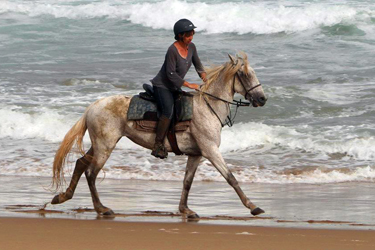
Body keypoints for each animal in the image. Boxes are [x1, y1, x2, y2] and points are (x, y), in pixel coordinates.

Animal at [50, 52, 268, 217]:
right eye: (244, 75)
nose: (262, 99)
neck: (208, 107)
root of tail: (92, 107)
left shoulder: (196, 154)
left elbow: (187, 182)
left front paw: (185, 210)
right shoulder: (210, 151)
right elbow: (231, 178)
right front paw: (253, 206)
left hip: (100, 145)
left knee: (80, 164)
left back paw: (63, 197)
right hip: (105, 147)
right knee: (91, 173)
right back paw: (102, 208)